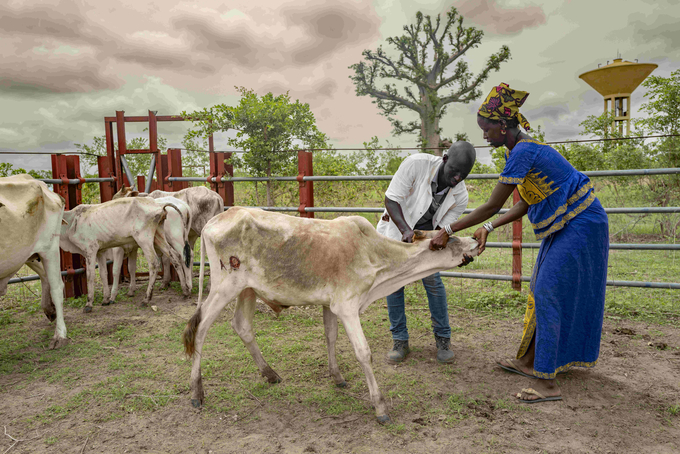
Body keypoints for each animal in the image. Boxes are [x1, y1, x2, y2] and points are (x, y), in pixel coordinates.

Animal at [0, 174, 67, 348]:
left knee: (57, 287)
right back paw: (49, 310)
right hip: (25, 253)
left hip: (50, 247)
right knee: (44, 275)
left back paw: (60, 335)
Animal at [59, 199, 189, 312]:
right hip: (158, 236)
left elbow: (91, 276)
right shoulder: (100, 251)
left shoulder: (90, 250)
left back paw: (146, 299)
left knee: (154, 263)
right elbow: (103, 274)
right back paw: (185, 291)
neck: (73, 221)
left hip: (144, 239)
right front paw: (105, 299)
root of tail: (159, 205)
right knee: (175, 257)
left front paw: (89, 304)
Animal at [181, 207, 478, 424]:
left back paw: (270, 374)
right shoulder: (347, 306)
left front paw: (337, 377)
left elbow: (331, 336)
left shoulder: (331, 305)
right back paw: (196, 392)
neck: (377, 259)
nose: (475, 240)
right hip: (224, 286)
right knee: (201, 328)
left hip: (247, 290)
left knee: (242, 325)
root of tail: (216, 219)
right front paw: (380, 407)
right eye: (450, 239)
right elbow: (363, 352)